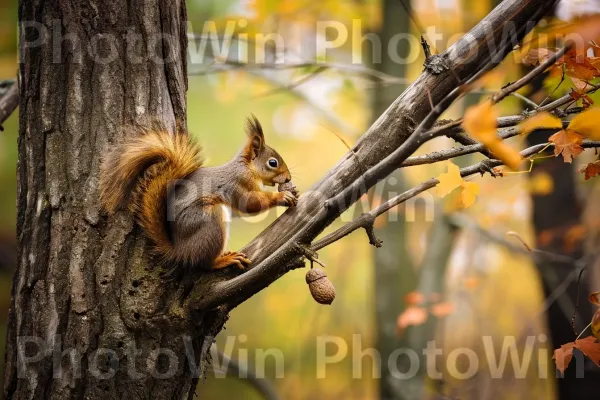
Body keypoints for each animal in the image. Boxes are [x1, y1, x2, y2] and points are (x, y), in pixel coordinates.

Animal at [99, 115, 298, 272]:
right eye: (273, 163)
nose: (288, 178)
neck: (247, 168)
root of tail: (180, 251)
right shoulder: (236, 183)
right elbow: (250, 203)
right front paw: (281, 197)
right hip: (208, 220)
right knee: (204, 264)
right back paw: (223, 260)